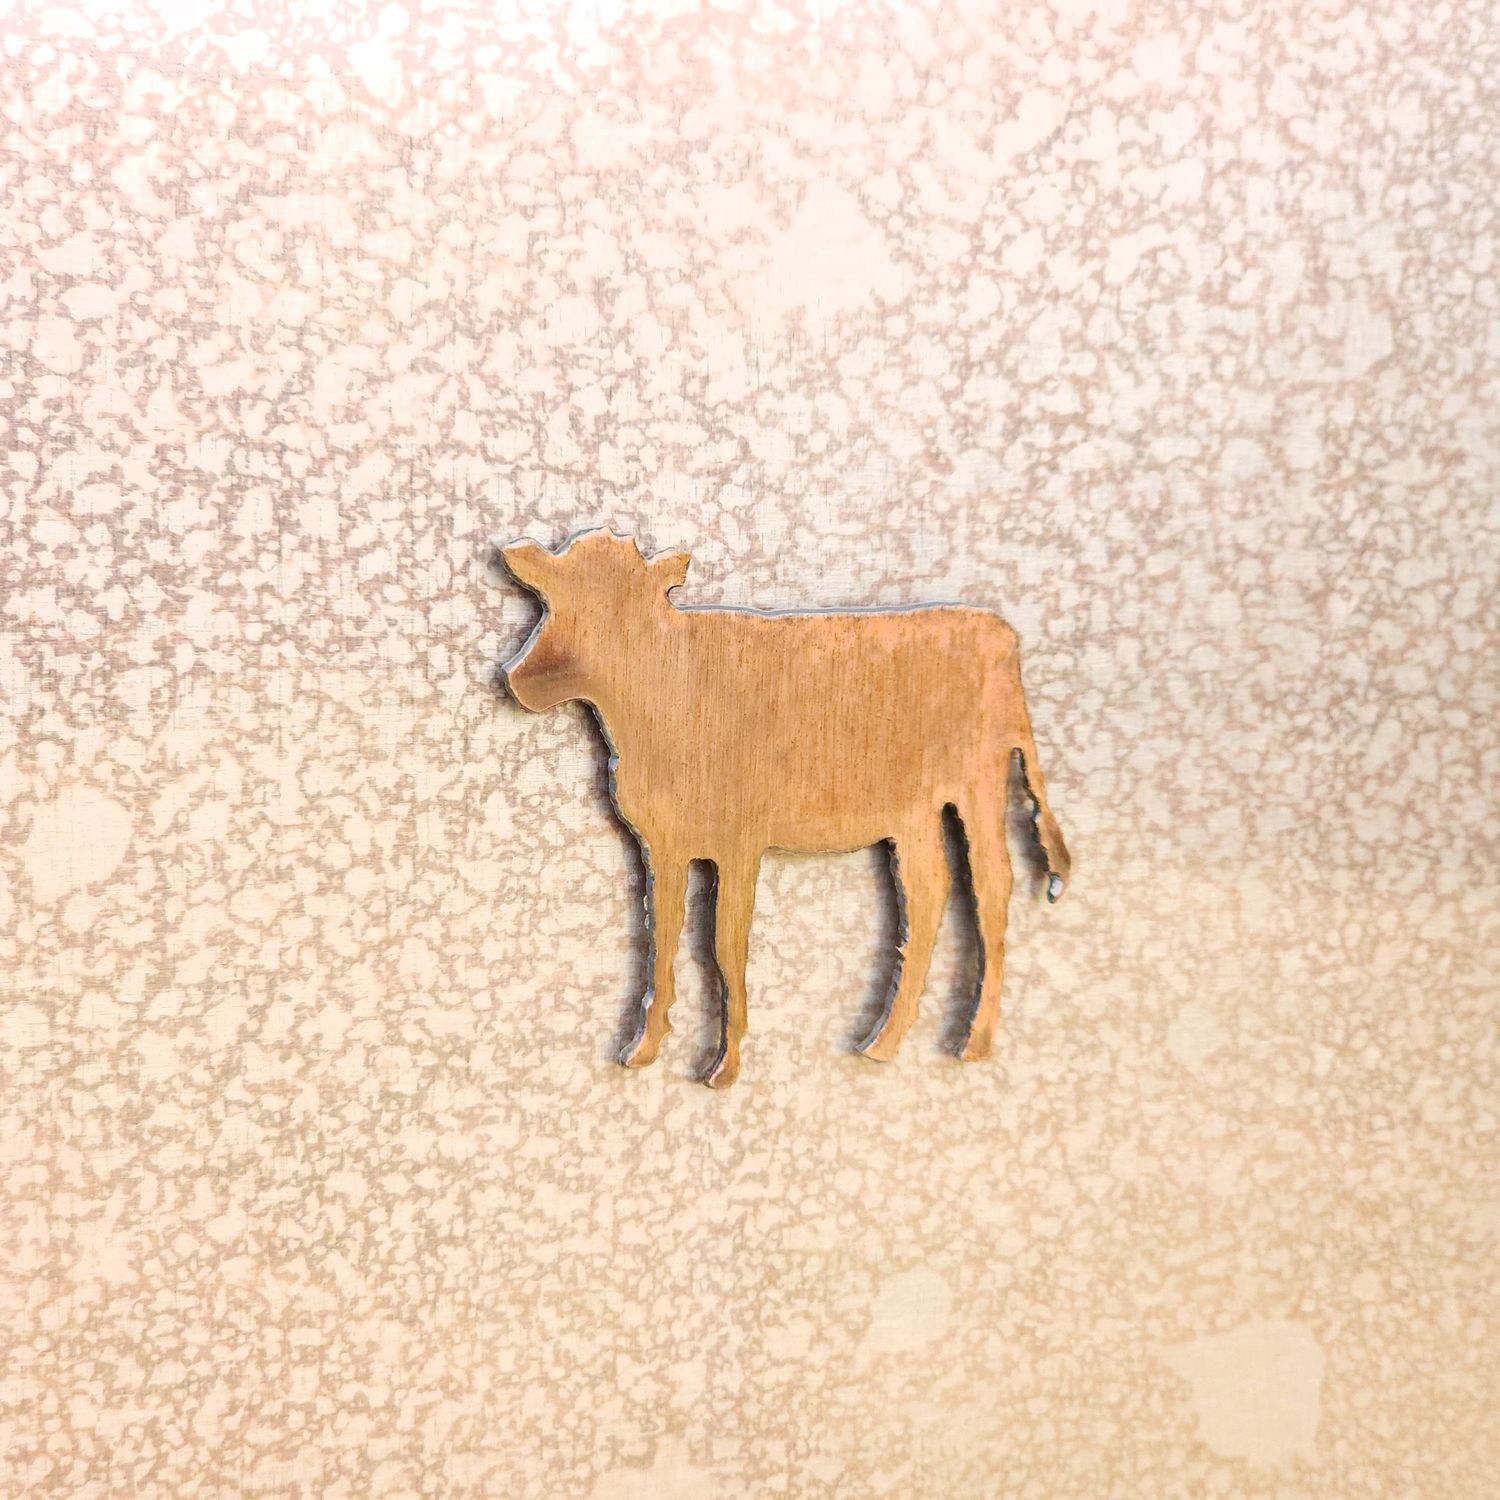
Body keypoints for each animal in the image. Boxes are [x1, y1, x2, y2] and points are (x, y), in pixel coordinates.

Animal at [498, 528, 1070, 1088]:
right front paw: (645, 1048)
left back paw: (974, 1041)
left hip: (980, 784)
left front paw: (724, 1065)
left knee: (991, 887)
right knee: (927, 893)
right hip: (914, 813)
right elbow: (662, 936)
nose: (519, 678)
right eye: (553, 599)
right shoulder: (662, 844)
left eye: (625, 609)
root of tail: (997, 631)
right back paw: (884, 1042)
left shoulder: (740, 843)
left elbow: (725, 945)